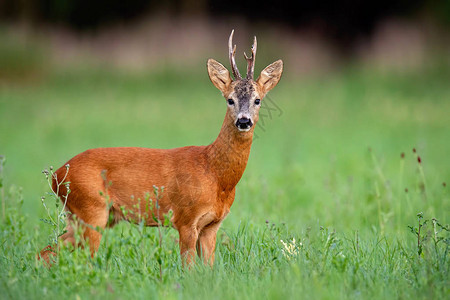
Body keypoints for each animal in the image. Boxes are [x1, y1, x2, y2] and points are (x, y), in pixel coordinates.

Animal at [40, 29, 284, 264]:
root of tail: (56, 176)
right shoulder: (186, 219)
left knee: (48, 250)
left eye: (257, 100)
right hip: (91, 209)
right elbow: (189, 269)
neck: (215, 175)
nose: (243, 121)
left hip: (92, 215)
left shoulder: (211, 225)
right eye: (230, 99)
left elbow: (209, 269)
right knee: (79, 257)